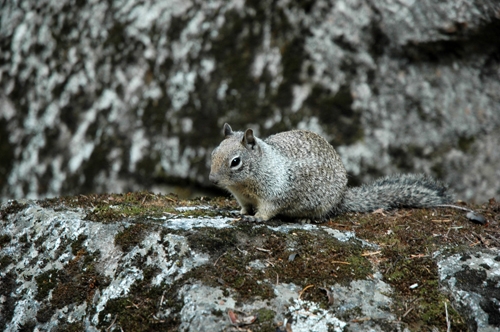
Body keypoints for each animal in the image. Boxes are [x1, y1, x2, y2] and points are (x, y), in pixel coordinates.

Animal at [208, 123, 454, 222]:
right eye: (213, 153)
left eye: (235, 162)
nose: (212, 179)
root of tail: (342, 197)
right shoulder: (243, 197)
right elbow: (244, 207)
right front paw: (240, 212)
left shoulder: (277, 192)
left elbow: (270, 209)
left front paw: (257, 218)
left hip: (322, 205)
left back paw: (306, 219)